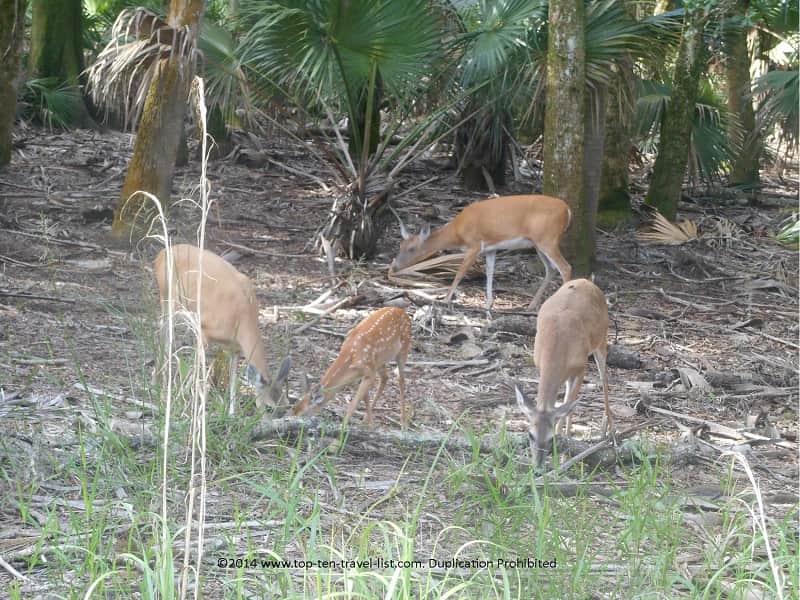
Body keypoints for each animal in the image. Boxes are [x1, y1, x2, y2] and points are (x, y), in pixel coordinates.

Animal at [153, 244, 291, 415]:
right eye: (268, 407)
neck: (242, 317)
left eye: (286, 406)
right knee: (162, 331)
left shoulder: (235, 348)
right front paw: (181, 397)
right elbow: (197, 367)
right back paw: (158, 381)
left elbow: (233, 378)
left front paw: (231, 413)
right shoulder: (204, 331)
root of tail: (161, 253)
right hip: (167, 298)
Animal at [390, 194, 572, 311]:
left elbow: (460, 272)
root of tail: (567, 210)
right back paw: (532, 305)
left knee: (565, 267)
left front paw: (446, 299)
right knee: (551, 269)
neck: (458, 233)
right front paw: (488, 304)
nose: (394, 267)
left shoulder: (475, 245)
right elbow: (489, 272)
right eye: (400, 245)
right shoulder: (491, 249)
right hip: (537, 242)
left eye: (411, 249)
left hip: (548, 238)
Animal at [512, 278, 613, 468]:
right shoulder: (540, 365)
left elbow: (569, 406)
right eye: (530, 435)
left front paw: (564, 456)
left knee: (604, 379)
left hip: (601, 339)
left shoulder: (581, 367)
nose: (537, 468)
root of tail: (586, 281)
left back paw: (609, 431)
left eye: (551, 439)